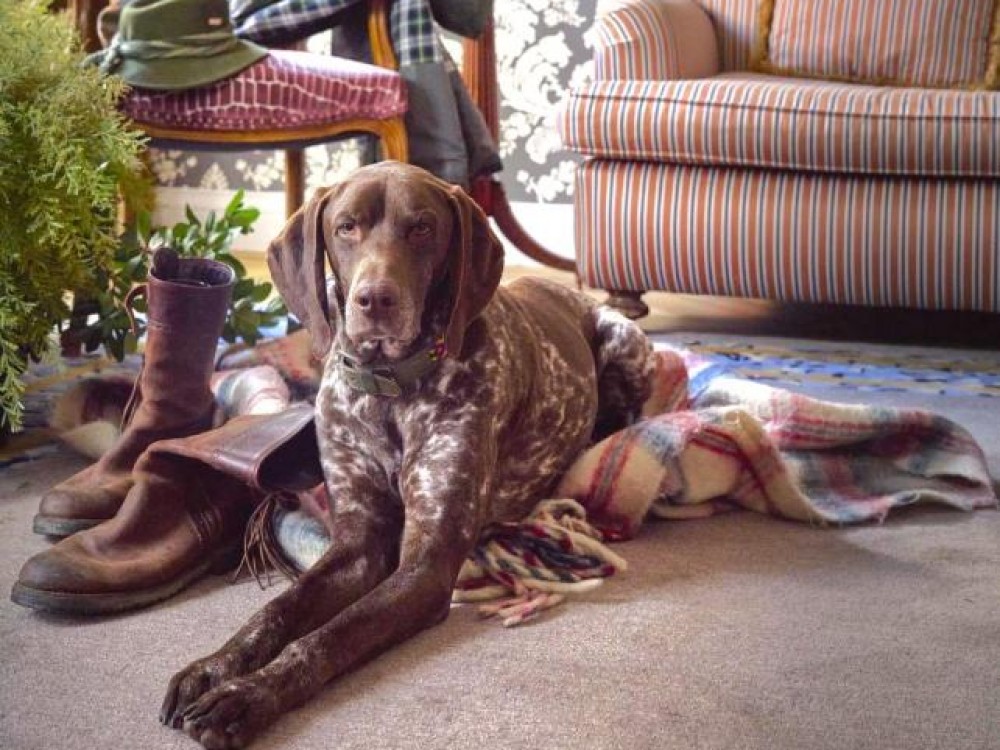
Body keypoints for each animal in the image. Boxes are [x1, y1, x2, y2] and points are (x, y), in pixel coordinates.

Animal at [159, 161, 656, 748]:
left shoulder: (426, 562)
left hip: (628, 343)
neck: (388, 388)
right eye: (346, 227)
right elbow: (278, 610)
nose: (375, 299)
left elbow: (331, 635)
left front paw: (248, 696)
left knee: (629, 411)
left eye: (421, 228)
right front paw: (216, 667)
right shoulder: (358, 541)